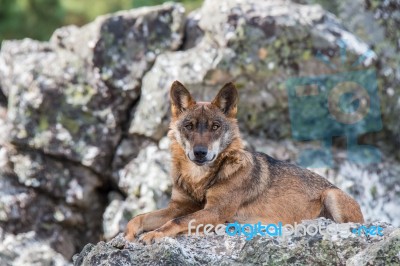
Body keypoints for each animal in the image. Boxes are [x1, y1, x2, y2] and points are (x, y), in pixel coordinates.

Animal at [126, 81, 364, 245]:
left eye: (215, 126)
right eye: (189, 126)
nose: (200, 153)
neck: (199, 180)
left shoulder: (215, 212)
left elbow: (176, 222)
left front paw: (153, 235)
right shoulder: (178, 206)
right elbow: (138, 218)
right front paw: (128, 236)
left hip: (331, 195)